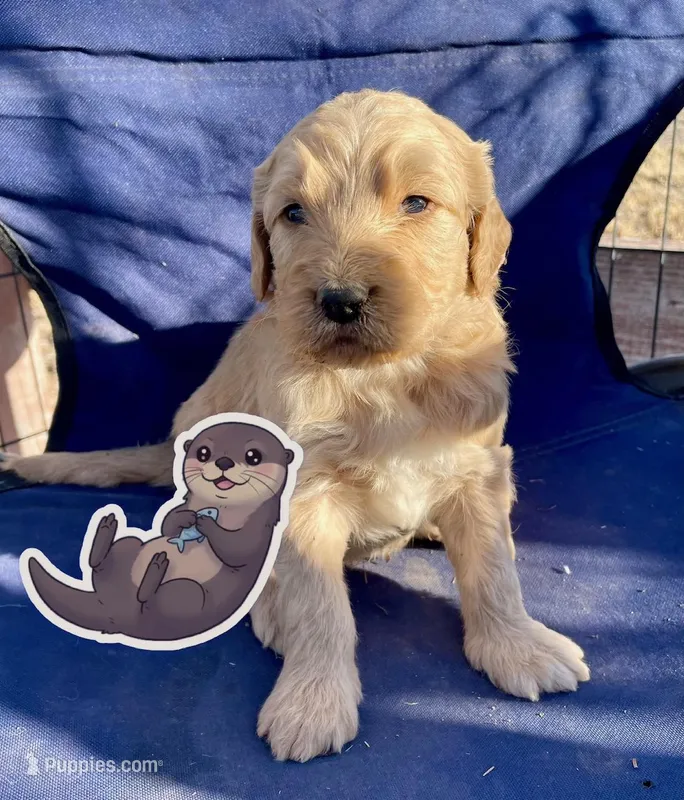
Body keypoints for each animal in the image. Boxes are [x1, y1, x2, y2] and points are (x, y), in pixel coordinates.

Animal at [20, 415, 301, 649]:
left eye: (254, 456)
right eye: (203, 452)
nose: (224, 461)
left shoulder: (258, 529)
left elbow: (238, 547)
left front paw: (207, 524)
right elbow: (170, 522)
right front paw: (188, 519)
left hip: (188, 594)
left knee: (151, 600)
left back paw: (153, 570)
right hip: (129, 547)